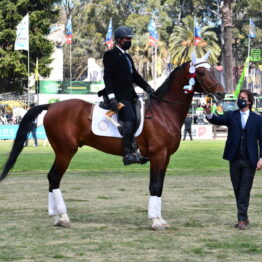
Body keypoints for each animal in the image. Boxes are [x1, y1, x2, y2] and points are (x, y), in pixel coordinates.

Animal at [0, 52, 225, 230]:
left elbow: (159, 186)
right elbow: (154, 186)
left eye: (214, 70)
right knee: (54, 178)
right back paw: (63, 217)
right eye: (202, 73)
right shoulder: (158, 155)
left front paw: (159, 219)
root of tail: (52, 106)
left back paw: (55, 217)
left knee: (51, 179)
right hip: (66, 151)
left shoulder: (165, 157)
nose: (221, 93)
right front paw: (155, 222)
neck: (164, 111)